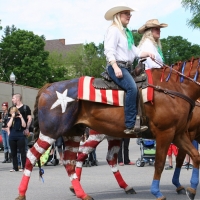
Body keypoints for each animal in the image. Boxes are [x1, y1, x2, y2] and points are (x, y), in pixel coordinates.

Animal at [15, 57, 200, 199]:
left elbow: (195, 156)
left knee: (73, 161)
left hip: (74, 133)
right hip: (52, 133)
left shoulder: (179, 134)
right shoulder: (165, 133)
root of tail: (48, 87)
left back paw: (83, 192)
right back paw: (22, 193)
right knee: (32, 156)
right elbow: (161, 163)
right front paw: (158, 191)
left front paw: (191, 189)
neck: (173, 89)